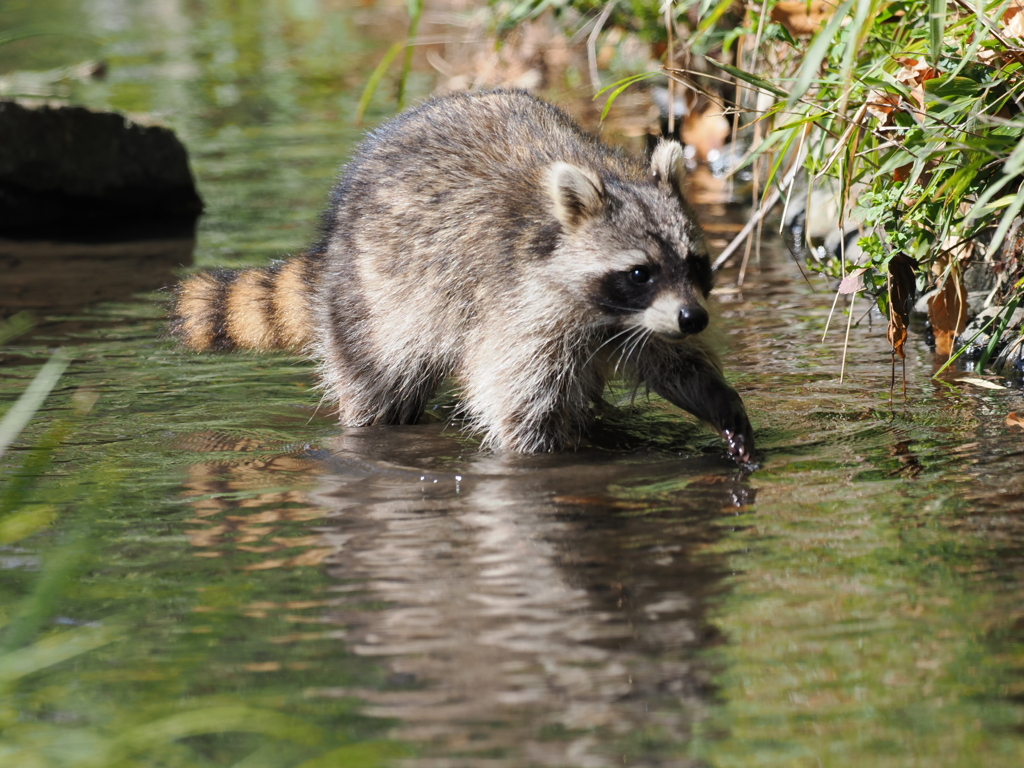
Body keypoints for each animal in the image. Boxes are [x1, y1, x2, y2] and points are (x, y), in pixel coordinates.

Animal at [172, 90, 753, 462]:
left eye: (695, 263)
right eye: (638, 272)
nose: (694, 318)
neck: (608, 316)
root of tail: (333, 236)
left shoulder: (643, 323)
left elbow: (675, 363)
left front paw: (722, 402)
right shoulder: (518, 309)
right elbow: (519, 405)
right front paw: (552, 456)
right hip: (368, 304)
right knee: (377, 386)